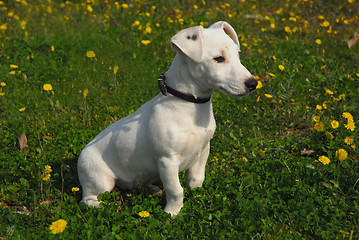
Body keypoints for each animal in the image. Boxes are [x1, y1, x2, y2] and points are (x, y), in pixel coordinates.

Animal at [79, 20, 258, 216]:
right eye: (218, 59)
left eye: (238, 55)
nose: (253, 83)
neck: (190, 104)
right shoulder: (167, 160)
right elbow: (175, 190)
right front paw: (171, 213)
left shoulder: (203, 151)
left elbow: (196, 180)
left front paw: (198, 199)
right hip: (99, 180)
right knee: (88, 200)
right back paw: (109, 207)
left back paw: (151, 189)